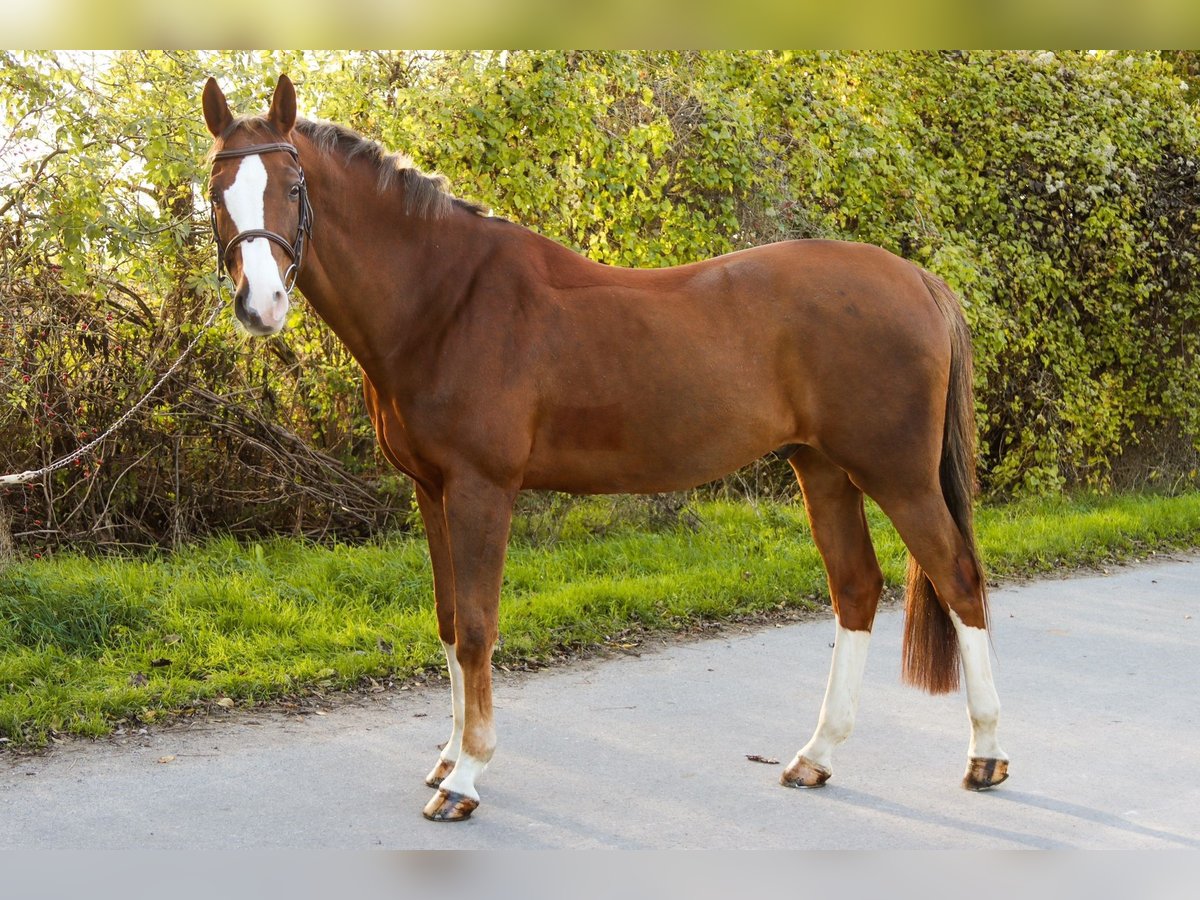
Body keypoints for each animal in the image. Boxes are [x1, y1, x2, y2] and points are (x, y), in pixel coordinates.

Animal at [201, 79, 1008, 825]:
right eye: (214, 193)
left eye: (294, 186)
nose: (261, 305)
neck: (446, 301)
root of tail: (920, 280)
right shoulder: (431, 490)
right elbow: (449, 622)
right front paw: (448, 757)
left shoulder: (481, 488)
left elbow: (479, 627)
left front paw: (467, 777)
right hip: (824, 469)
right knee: (857, 589)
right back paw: (816, 756)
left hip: (898, 475)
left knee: (959, 579)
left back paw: (986, 756)